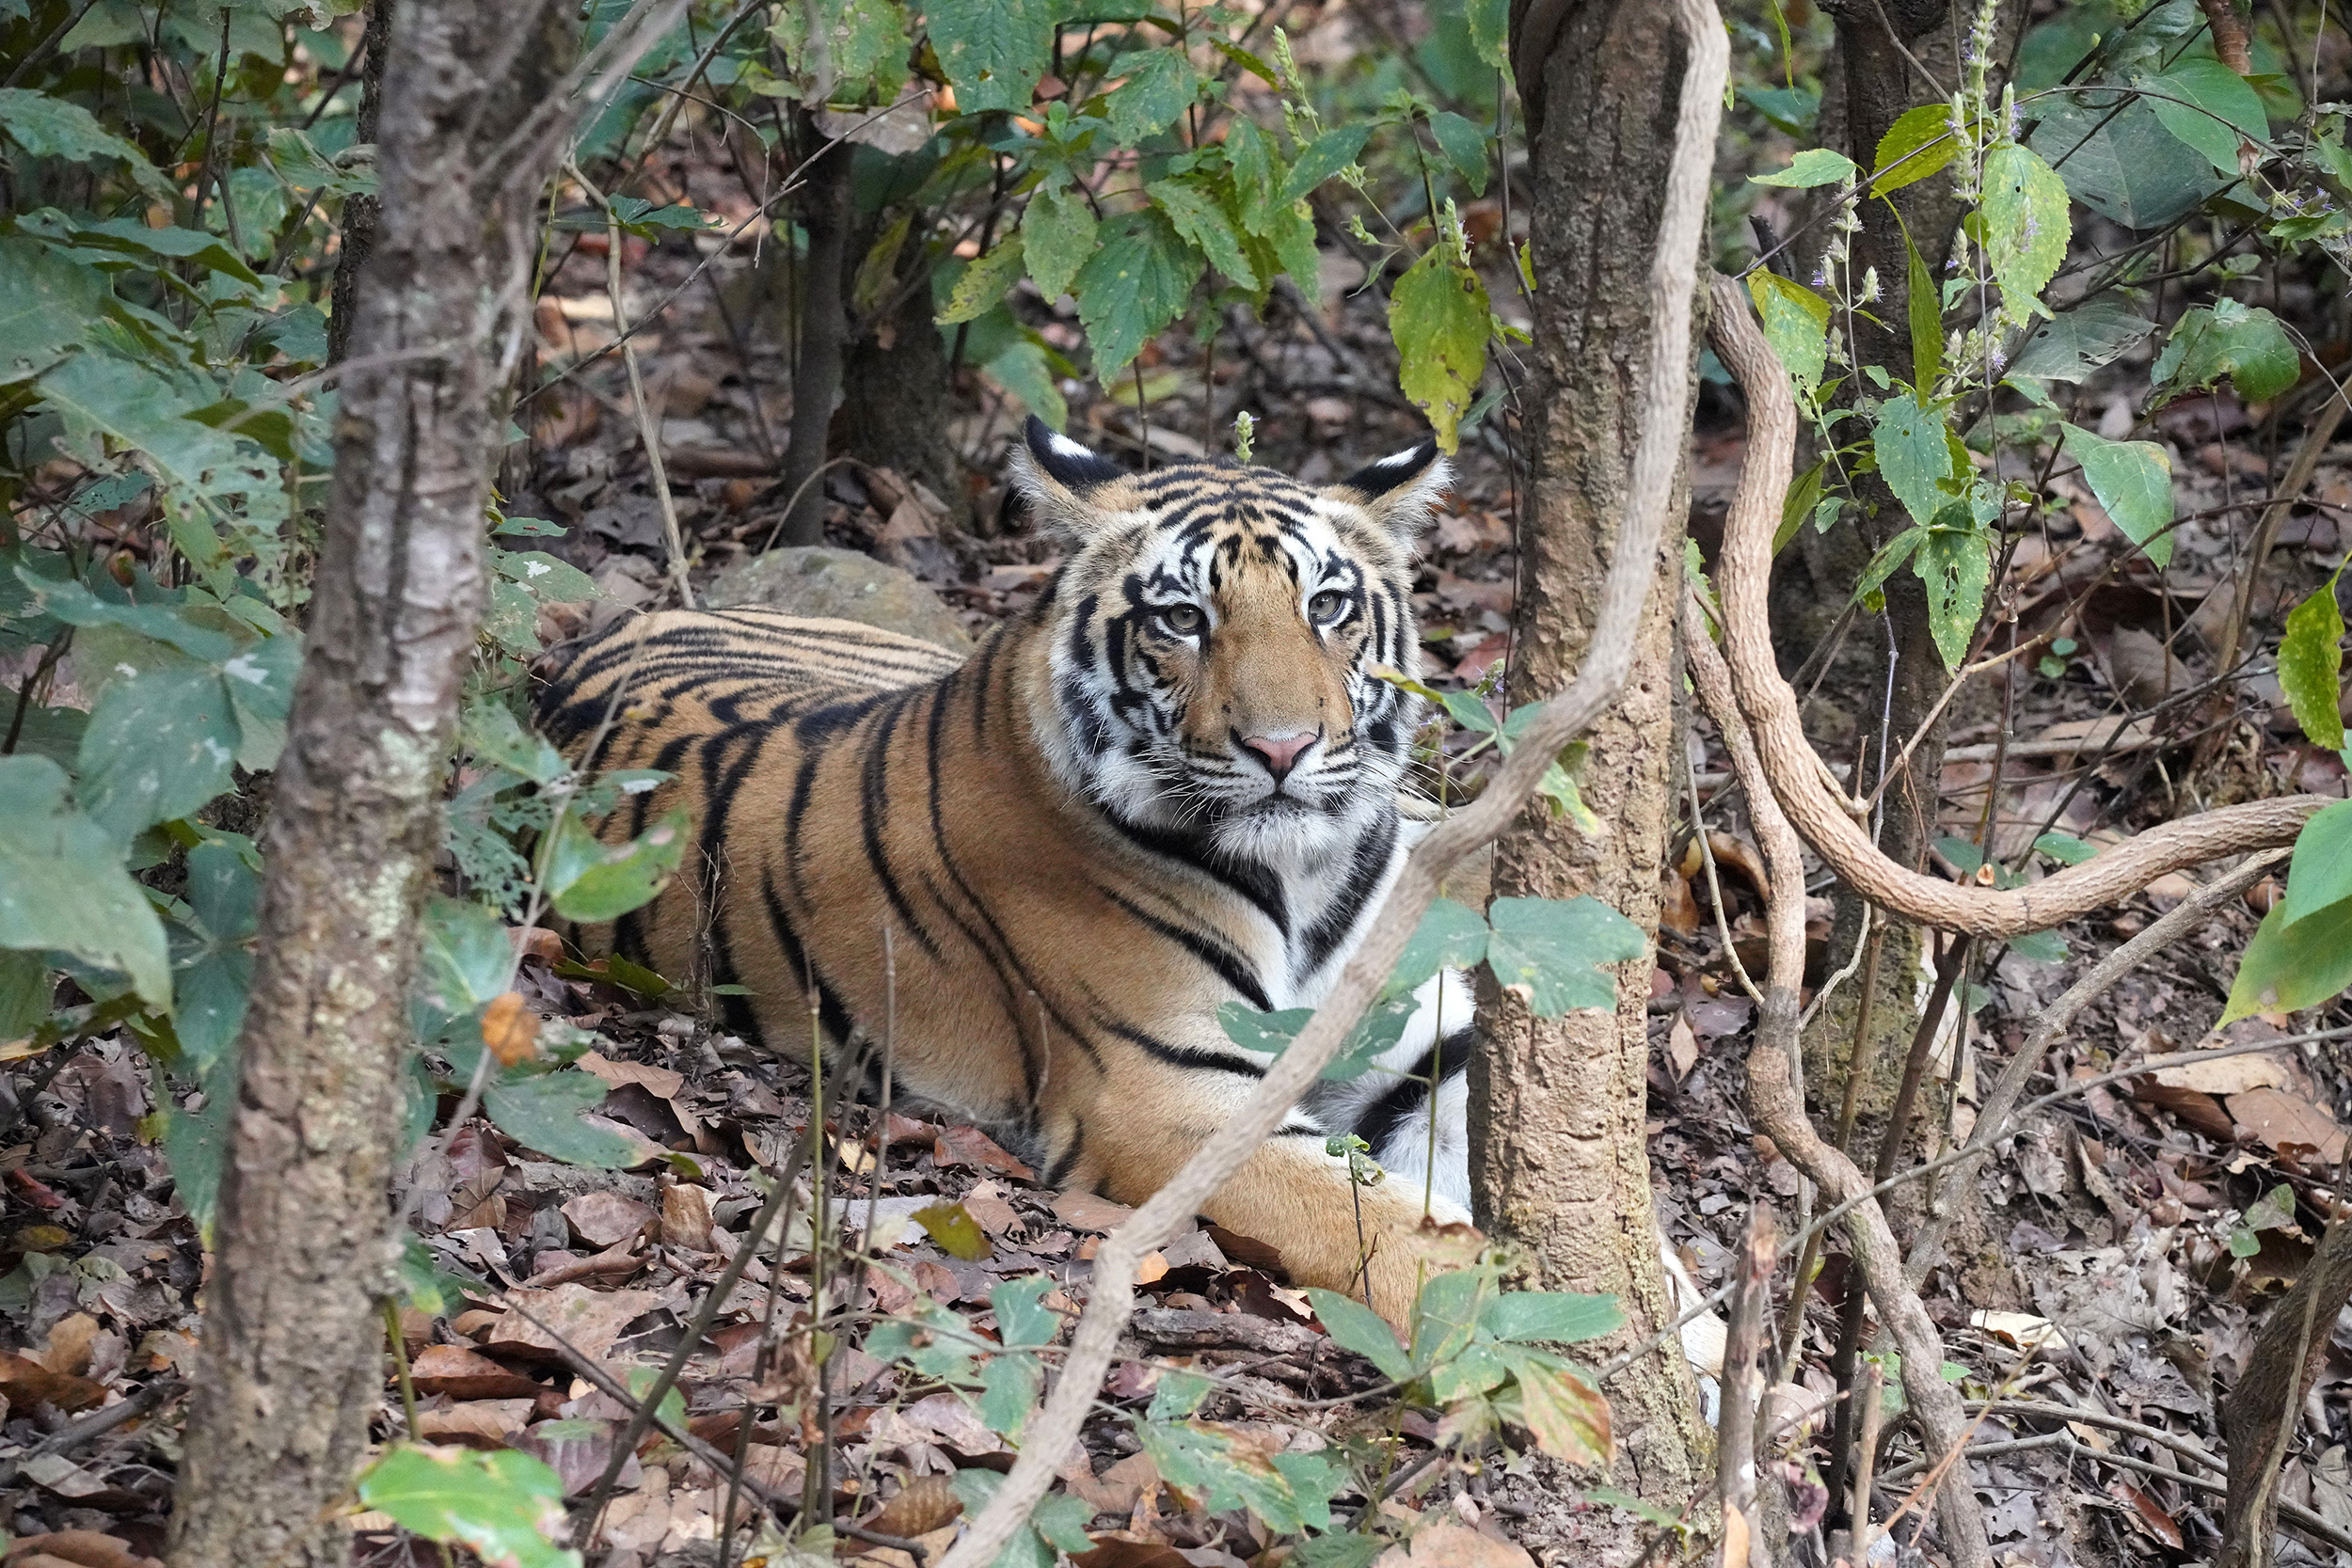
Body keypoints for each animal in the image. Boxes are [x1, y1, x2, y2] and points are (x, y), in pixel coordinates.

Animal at [533, 417, 1479, 1319]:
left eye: (1327, 605)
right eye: (1182, 618)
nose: (1282, 748)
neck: (1302, 872)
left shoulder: (1426, 1045)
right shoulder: (1170, 1099)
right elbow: (1393, 1230)